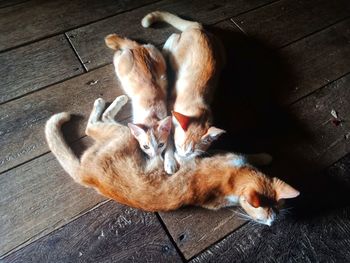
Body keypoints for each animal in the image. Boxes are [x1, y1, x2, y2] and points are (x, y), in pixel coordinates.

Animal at [45, 96, 300, 226]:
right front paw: (264, 155)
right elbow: (239, 150)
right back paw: (110, 102)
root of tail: (84, 174)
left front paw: (264, 156)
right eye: (263, 215)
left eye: (276, 210)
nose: (272, 223)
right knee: (93, 125)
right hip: (127, 135)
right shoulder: (216, 154)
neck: (232, 180)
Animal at [104, 33, 178, 173]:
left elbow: (170, 144)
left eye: (161, 144)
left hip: (154, 52)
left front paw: (169, 161)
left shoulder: (168, 130)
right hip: (121, 64)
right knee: (117, 55)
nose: (155, 156)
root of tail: (136, 48)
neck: (151, 116)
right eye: (145, 147)